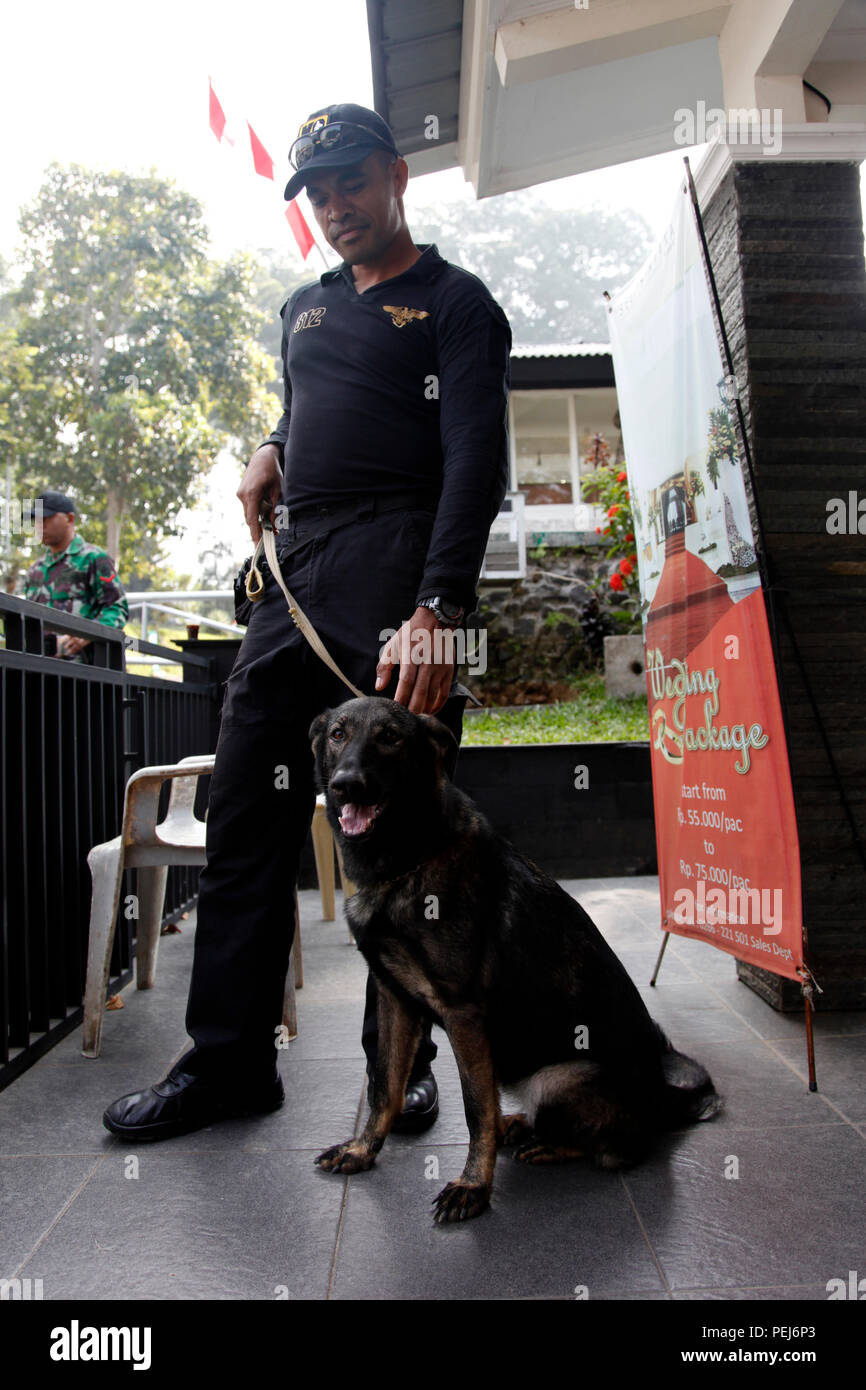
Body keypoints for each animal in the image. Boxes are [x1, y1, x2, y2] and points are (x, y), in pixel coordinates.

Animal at [308, 700, 722, 1223]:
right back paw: (521, 1126)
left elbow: (474, 1110)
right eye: (338, 735)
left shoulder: (463, 1016)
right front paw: (363, 1149)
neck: (410, 857)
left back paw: (547, 1143)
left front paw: (473, 1186)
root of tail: (663, 1101)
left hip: (556, 1079)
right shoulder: (394, 999)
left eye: (390, 737)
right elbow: (386, 1086)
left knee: (616, 1149)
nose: (347, 784)